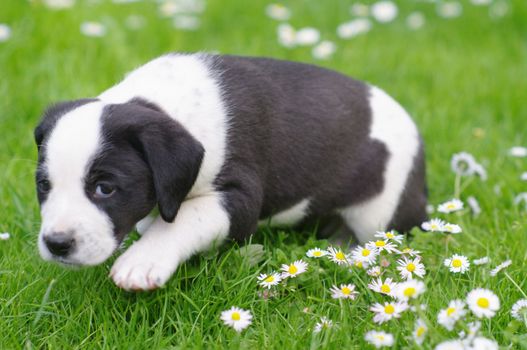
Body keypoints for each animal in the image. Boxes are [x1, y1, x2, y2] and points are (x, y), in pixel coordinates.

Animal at [34, 54, 428, 290]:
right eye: (43, 186)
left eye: (105, 188)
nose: (57, 244)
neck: (162, 104)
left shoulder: (239, 198)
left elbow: (184, 218)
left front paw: (143, 258)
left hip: (382, 213)